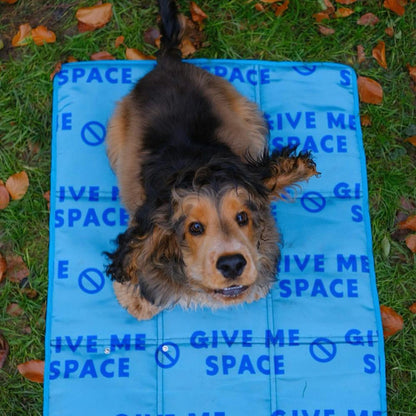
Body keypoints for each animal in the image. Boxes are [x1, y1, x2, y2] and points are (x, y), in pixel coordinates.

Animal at [105, 0, 318, 320]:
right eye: (195, 228)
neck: (196, 167)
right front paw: (138, 299)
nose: (232, 264)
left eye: (242, 217)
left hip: (249, 115)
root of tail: (168, 63)